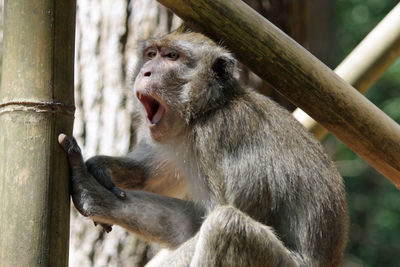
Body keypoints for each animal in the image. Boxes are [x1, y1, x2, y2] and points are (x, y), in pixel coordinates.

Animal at [57, 28, 348, 266]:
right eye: (151, 55)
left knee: (225, 224)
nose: (145, 71)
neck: (207, 109)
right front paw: (95, 178)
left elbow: (218, 219)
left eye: (172, 57)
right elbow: (159, 187)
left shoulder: (219, 135)